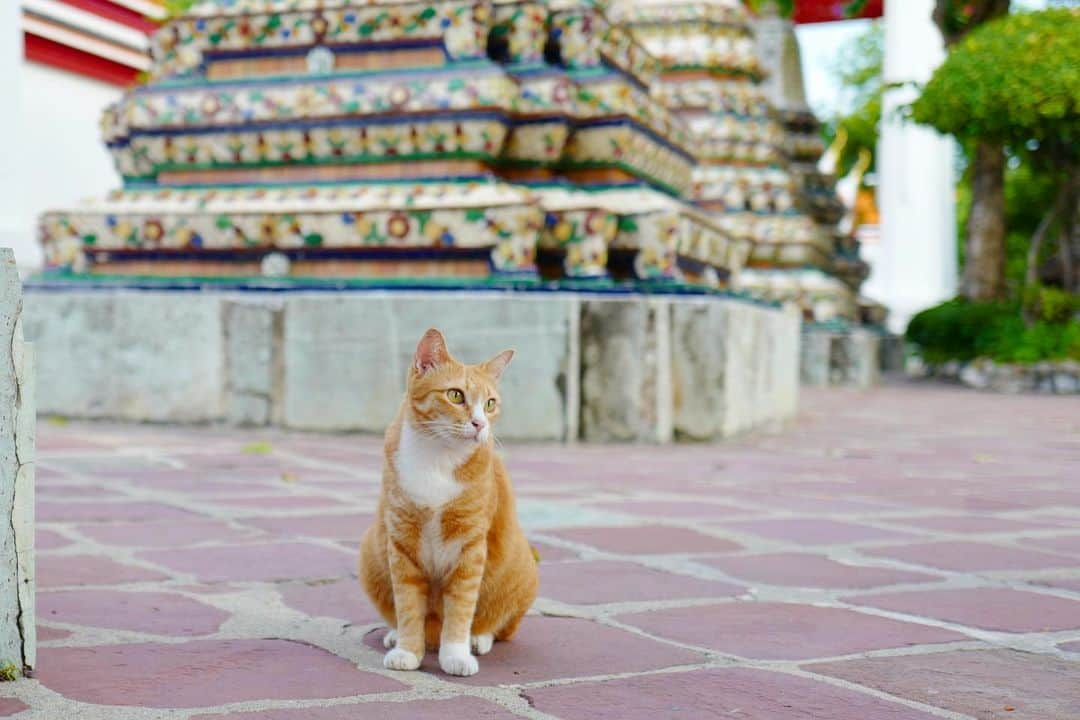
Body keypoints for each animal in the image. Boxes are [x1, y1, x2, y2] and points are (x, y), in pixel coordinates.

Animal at [356, 325, 537, 677]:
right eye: (455, 395)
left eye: (490, 403)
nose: (480, 424)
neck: (437, 458)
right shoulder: (401, 543)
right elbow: (408, 605)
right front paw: (408, 650)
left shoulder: (470, 547)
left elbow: (461, 608)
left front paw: (455, 654)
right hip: (372, 548)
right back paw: (396, 634)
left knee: (499, 624)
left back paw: (478, 638)